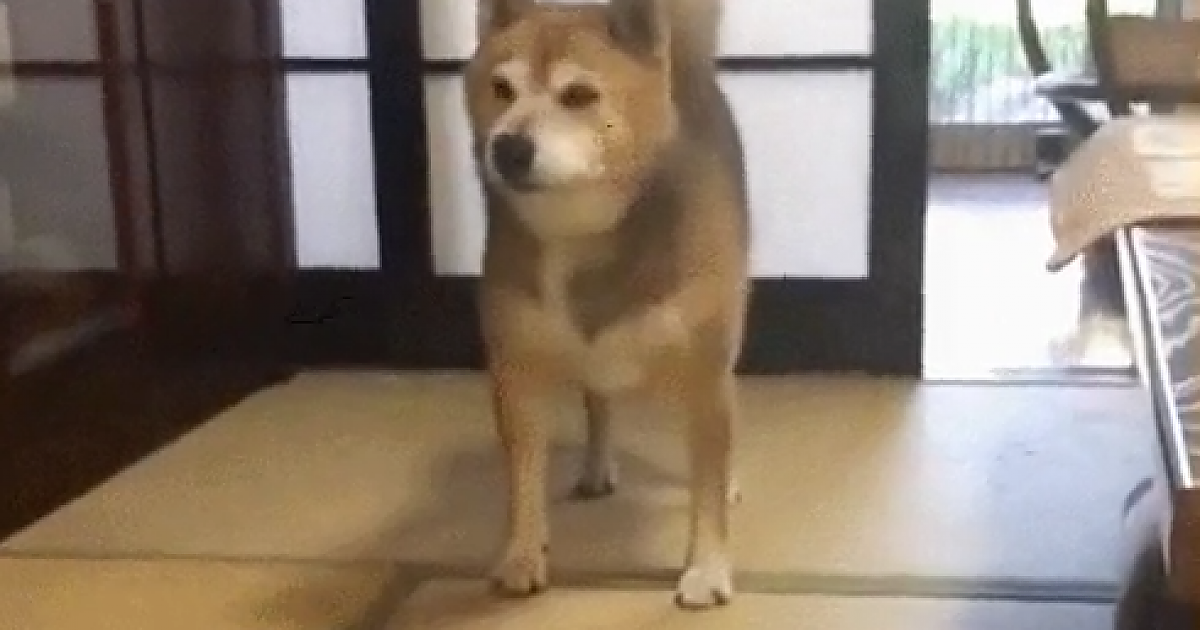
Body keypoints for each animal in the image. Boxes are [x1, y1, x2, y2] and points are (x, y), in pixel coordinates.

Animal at [464, 0, 750, 608]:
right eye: (501, 88)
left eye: (578, 95)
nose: (508, 146)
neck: (580, 235)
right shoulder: (516, 369)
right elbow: (523, 477)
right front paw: (522, 552)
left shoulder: (706, 374)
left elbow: (708, 486)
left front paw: (707, 568)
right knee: (600, 404)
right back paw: (596, 468)